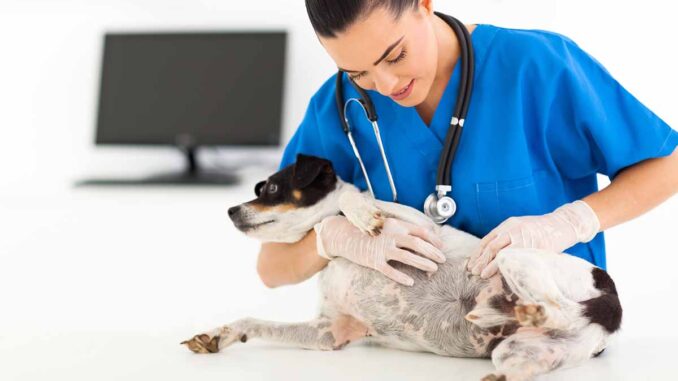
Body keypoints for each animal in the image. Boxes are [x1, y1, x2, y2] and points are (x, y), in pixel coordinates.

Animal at [183, 153, 624, 378]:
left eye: (271, 187)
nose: (230, 210)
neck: (341, 258)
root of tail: (611, 304)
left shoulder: (421, 229)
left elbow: (349, 201)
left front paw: (362, 218)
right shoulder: (330, 333)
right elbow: (251, 321)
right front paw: (217, 335)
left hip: (510, 256)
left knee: (552, 305)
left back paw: (516, 308)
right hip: (523, 352)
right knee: (520, 363)